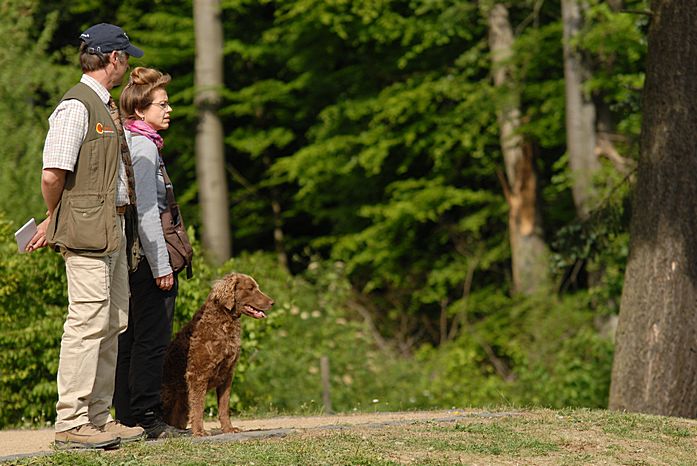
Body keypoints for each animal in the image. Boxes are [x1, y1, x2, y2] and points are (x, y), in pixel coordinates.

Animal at [161, 273, 274, 436]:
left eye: (256, 287)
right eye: (250, 288)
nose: (273, 302)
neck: (224, 324)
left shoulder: (227, 374)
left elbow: (224, 407)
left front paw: (229, 429)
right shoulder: (198, 374)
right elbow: (199, 406)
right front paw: (199, 432)